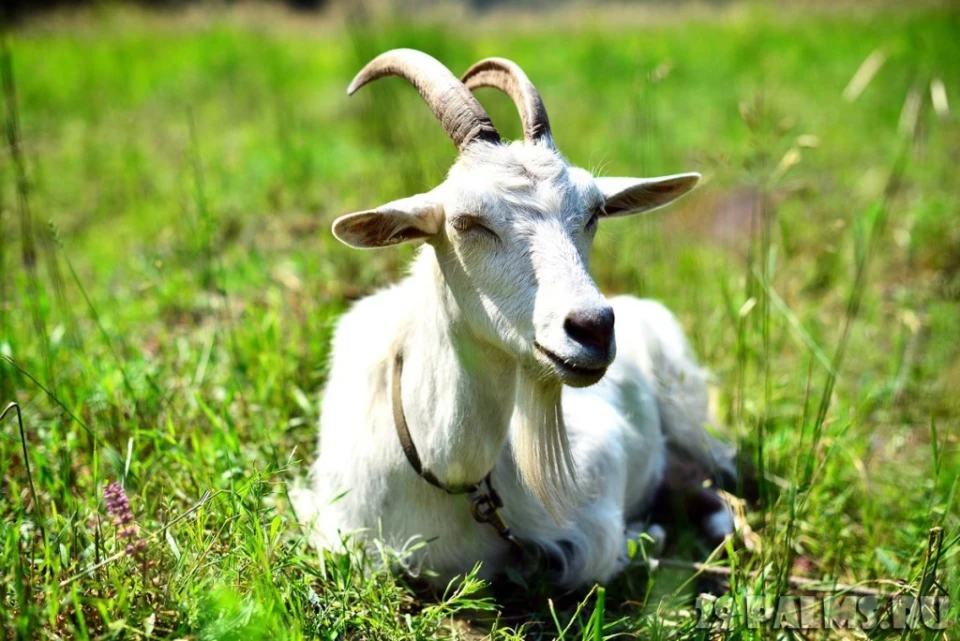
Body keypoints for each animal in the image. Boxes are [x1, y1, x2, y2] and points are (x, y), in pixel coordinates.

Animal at [293, 50, 738, 589]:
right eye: (466, 222)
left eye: (594, 212)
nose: (593, 326)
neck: (451, 472)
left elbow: (595, 555)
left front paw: (644, 534)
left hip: (688, 407)